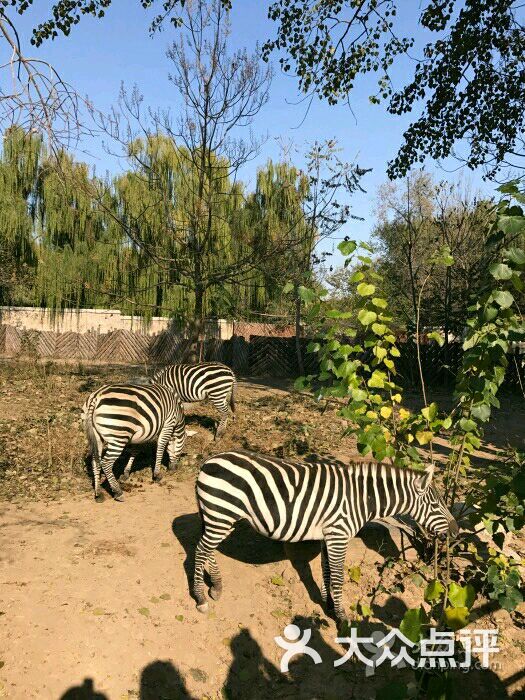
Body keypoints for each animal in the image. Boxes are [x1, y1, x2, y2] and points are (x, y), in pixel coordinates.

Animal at [192, 454, 458, 624]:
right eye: (436, 505)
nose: (456, 532)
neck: (362, 498)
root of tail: (208, 461)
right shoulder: (339, 535)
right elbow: (338, 577)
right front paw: (341, 617)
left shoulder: (327, 536)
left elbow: (327, 571)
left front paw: (328, 604)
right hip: (221, 514)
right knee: (200, 550)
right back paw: (201, 597)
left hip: (219, 518)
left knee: (207, 550)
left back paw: (216, 586)